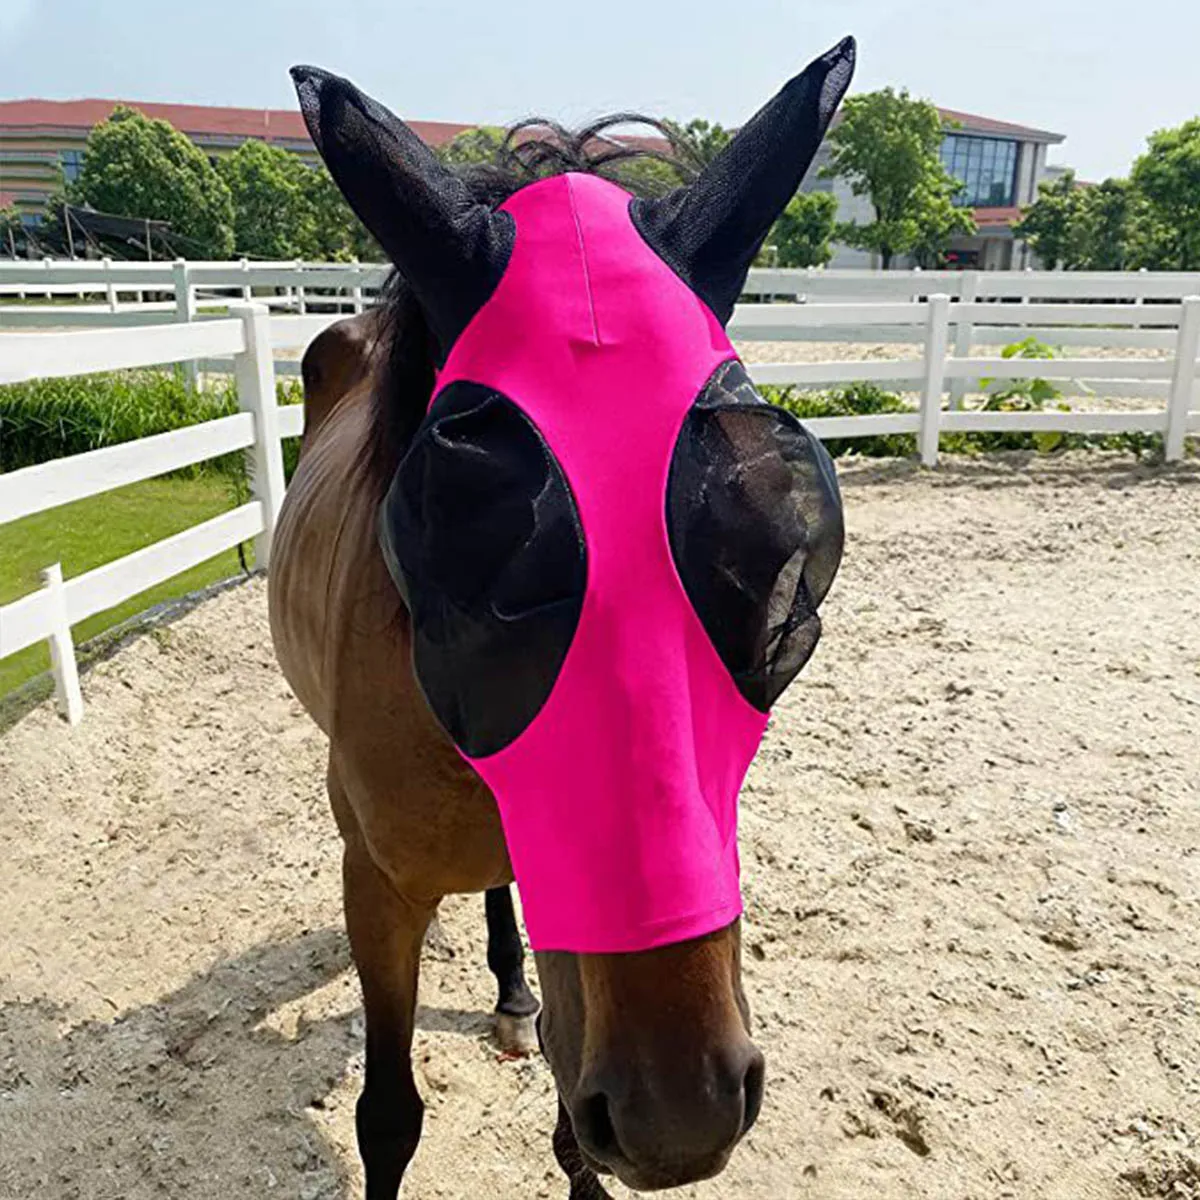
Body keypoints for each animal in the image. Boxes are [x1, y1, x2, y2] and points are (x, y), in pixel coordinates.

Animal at [269, 36, 855, 1199]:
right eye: (461, 542)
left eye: (776, 564)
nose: (682, 1113)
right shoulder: (377, 891)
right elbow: (387, 1119)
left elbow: (568, 1126)